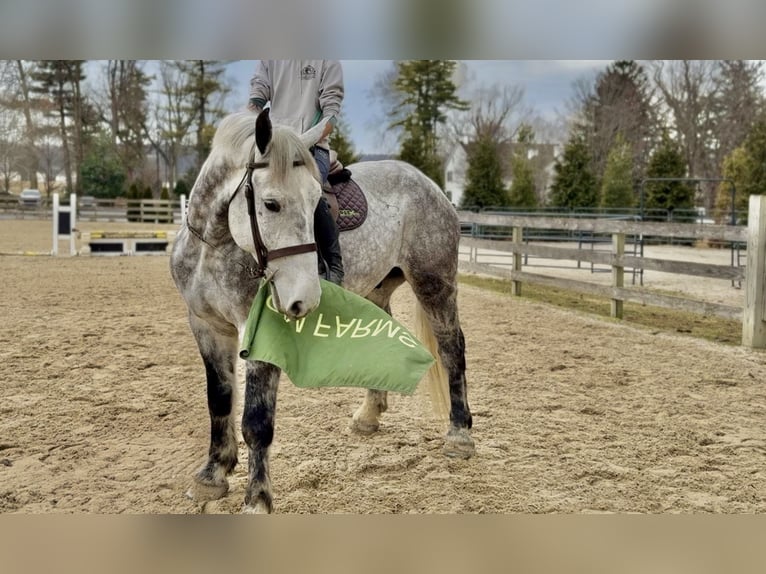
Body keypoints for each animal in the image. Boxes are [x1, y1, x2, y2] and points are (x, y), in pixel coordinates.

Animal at [170, 109, 474, 513]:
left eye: (317, 202)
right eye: (271, 204)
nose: (304, 297)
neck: (215, 247)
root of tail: (431, 187)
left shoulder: (259, 335)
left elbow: (257, 420)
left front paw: (257, 499)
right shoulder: (206, 326)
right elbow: (219, 401)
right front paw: (213, 474)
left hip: (434, 284)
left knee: (452, 348)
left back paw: (459, 435)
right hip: (377, 290)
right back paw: (368, 416)